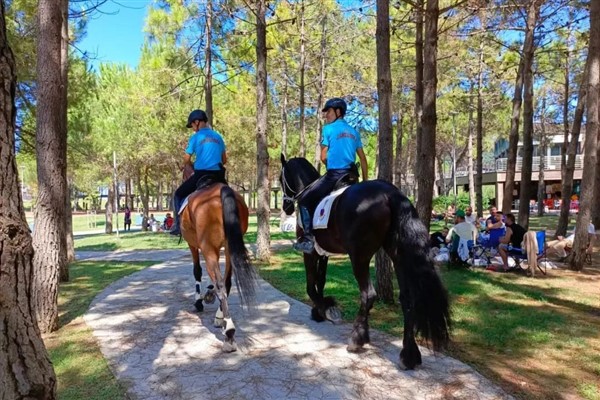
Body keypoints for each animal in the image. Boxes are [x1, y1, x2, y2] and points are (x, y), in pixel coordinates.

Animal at [179, 182, 256, 354]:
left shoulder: (193, 245)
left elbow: (197, 271)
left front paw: (199, 300)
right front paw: (209, 294)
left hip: (209, 248)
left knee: (220, 284)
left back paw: (229, 334)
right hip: (228, 248)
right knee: (226, 282)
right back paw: (221, 318)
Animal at [282, 154, 450, 368]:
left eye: (281, 178)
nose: (286, 207)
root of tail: (391, 193)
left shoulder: (310, 253)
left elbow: (311, 286)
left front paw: (325, 309)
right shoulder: (323, 253)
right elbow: (321, 281)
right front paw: (321, 309)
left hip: (359, 256)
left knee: (368, 294)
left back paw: (357, 339)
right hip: (398, 255)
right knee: (407, 298)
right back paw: (409, 354)